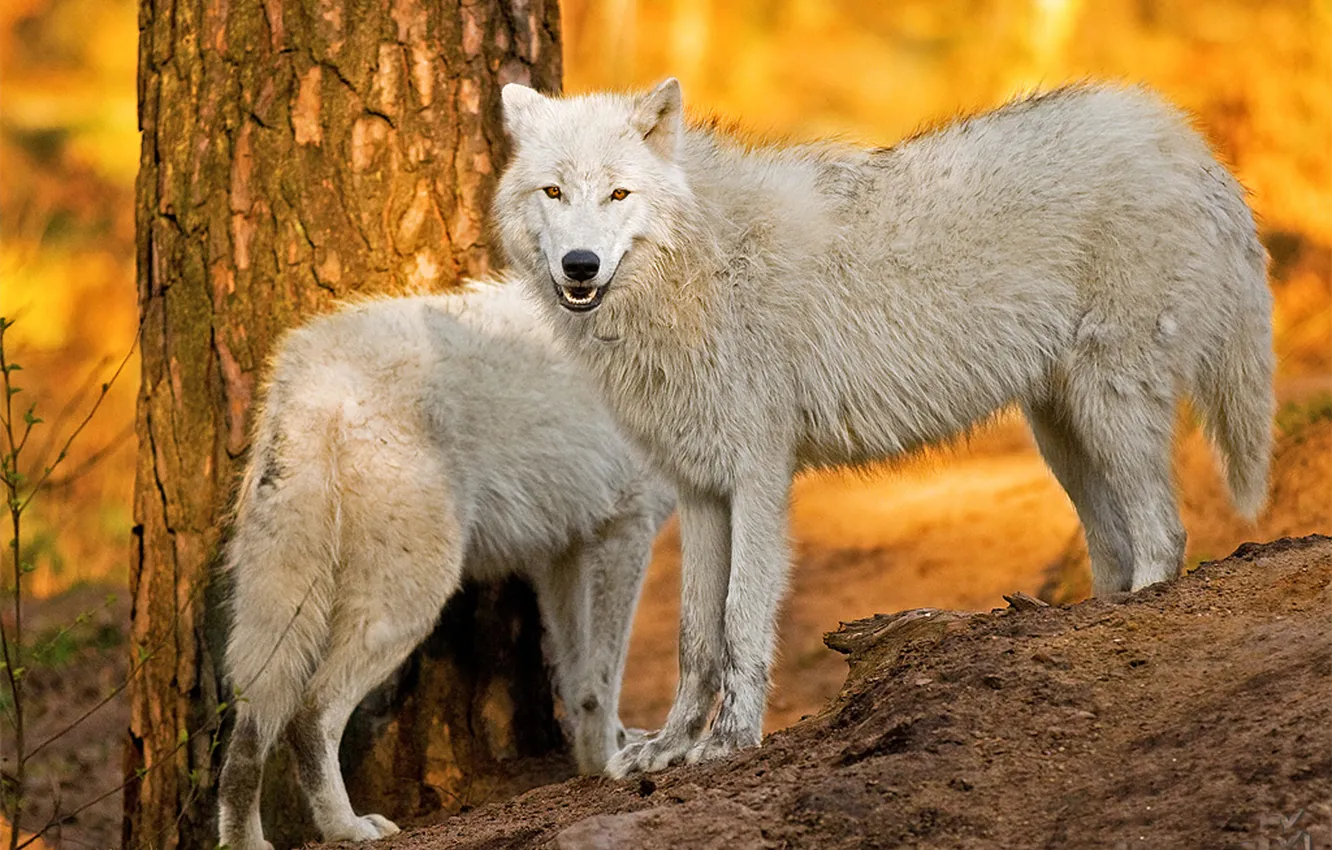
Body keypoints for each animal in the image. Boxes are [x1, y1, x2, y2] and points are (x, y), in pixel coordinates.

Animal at [215, 279, 674, 850]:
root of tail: (315, 380)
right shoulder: (628, 529)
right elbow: (604, 681)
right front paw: (613, 761)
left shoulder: (562, 554)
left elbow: (579, 679)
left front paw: (599, 758)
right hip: (408, 605)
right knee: (309, 715)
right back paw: (350, 828)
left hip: (279, 613)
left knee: (247, 737)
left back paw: (247, 840)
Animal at [494, 79, 1274, 777]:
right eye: (553, 193)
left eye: (619, 195)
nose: (580, 267)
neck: (699, 265)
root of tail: (1181, 134)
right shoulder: (700, 490)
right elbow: (696, 638)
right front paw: (670, 747)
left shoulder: (758, 477)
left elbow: (741, 622)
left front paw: (730, 742)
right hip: (1063, 435)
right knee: (1114, 546)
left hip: (1108, 405)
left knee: (1164, 534)